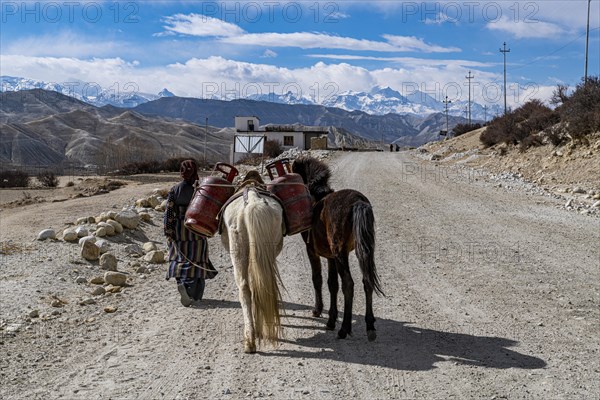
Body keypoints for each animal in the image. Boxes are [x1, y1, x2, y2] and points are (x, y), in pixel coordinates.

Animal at [292, 156, 384, 340]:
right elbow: (332, 284)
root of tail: (358, 201)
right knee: (367, 281)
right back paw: (370, 326)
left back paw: (344, 329)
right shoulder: (331, 257)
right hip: (362, 251)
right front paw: (331, 320)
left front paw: (318, 310)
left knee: (348, 284)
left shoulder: (312, 252)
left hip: (341, 253)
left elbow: (318, 279)